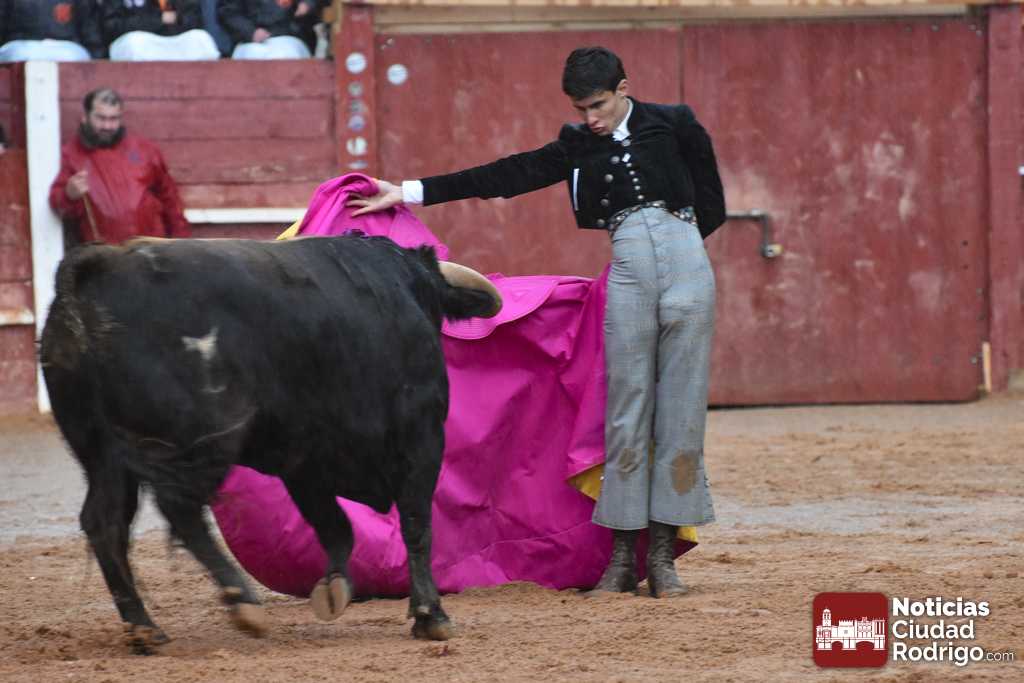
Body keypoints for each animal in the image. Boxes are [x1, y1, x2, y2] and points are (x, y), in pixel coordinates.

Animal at [39, 234, 502, 653]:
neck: (405, 288)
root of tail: (98, 269)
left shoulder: (305, 460)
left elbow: (337, 527)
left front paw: (334, 588)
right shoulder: (421, 437)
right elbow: (416, 524)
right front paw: (430, 615)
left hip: (102, 452)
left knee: (105, 522)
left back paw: (144, 629)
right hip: (203, 439)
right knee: (179, 508)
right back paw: (241, 602)